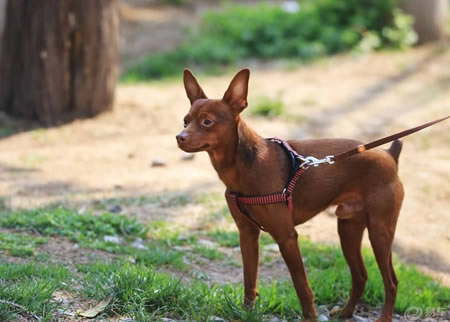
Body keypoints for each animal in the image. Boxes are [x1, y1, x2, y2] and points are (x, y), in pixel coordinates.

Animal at [176, 69, 404, 320]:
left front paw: (310, 317)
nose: (180, 137)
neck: (242, 166)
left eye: (207, 122)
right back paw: (345, 313)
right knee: (361, 275)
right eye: (185, 121)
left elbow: (301, 285)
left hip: (379, 231)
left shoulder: (286, 237)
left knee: (391, 281)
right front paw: (247, 312)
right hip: (348, 228)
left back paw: (383, 316)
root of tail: (389, 155)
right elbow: (249, 279)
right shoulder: (247, 234)